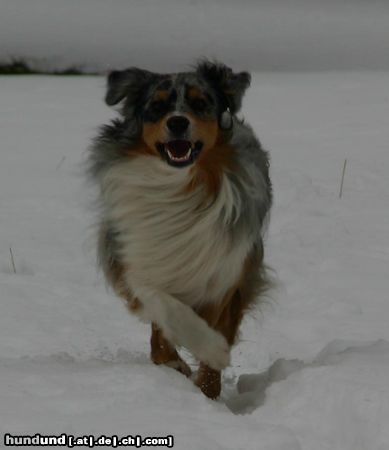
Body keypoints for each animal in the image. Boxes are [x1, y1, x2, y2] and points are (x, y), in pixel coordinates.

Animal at [87, 60, 270, 398]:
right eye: (157, 106)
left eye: (200, 103)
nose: (177, 122)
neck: (178, 188)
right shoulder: (135, 258)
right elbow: (165, 307)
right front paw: (193, 356)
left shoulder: (228, 272)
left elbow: (216, 329)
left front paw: (209, 382)